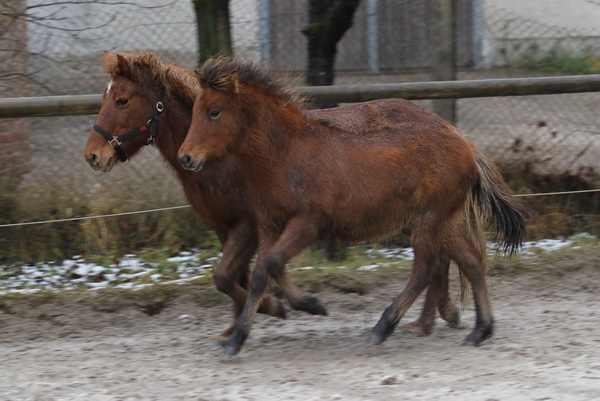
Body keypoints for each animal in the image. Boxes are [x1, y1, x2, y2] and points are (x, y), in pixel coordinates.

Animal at [84, 51, 462, 340]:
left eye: (121, 100)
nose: (93, 155)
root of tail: (442, 125)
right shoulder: (228, 227)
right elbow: (231, 276)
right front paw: (237, 327)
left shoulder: (249, 224)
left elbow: (229, 275)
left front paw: (271, 308)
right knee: (441, 257)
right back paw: (438, 316)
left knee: (438, 257)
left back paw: (429, 319)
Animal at [178, 57, 524, 356]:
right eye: (194, 110)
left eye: (214, 111)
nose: (186, 157)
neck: (287, 155)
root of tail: (467, 147)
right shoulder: (268, 225)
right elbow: (261, 275)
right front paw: (236, 340)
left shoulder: (308, 223)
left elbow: (274, 263)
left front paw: (313, 305)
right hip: (444, 221)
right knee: (471, 262)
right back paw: (480, 330)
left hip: (430, 220)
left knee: (427, 266)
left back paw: (384, 327)